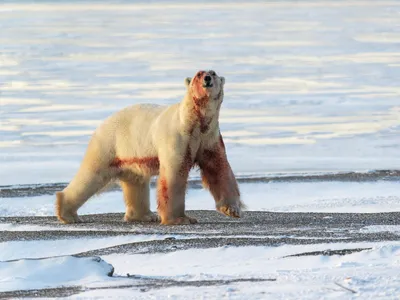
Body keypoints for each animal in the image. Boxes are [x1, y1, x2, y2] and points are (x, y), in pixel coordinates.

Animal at [55, 69, 244, 225]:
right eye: (199, 74)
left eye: (213, 72)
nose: (207, 79)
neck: (195, 121)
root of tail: (101, 125)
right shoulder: (178, 137)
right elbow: (174, 174)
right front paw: (181, 219)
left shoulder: (209, 137)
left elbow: (218, 168)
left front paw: (232, 209)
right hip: (109, 145)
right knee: (91, 175)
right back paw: (68, 214)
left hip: (131, 155)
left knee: (136, 182)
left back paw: (144, 215)